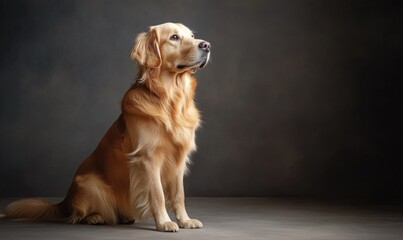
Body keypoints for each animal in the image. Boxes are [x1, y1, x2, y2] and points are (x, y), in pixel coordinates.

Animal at [4, 22, 211, 232]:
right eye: (174, 37)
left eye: (191, 35)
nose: (207, 45)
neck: (171, 99)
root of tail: (65, 202)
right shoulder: (148, 158)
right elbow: (158, 194)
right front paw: (164, 222)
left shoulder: (178, 158)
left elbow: (179, 195)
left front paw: (185, 220)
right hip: (89, 182)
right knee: (78, 215)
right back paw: (95, 217)